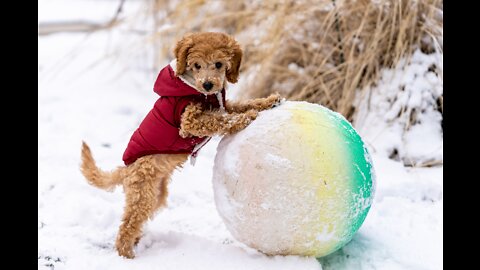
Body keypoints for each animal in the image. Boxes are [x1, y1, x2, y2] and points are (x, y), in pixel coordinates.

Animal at [79, 32, 282, 258]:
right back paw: (127, 254)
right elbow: (219, 120)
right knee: (127, 226)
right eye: (196, 65)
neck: (197, 90)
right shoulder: (188, 121)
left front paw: (268, 102)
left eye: (219, 64)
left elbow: (239, 104)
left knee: (135, 221)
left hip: (155, 195)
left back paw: (137, 241)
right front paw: (246, 117)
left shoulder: (223, 105)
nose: (208, 85)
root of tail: (125, 170)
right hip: (142, 194)